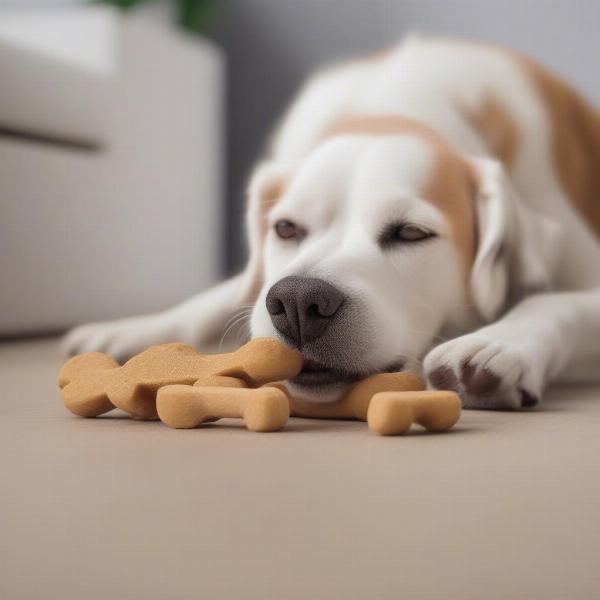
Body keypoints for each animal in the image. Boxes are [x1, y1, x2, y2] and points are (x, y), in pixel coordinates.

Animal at [65, 37, 600, 410]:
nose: (298, 302)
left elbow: (553, 301)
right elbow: (220, 295)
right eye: (285, 228)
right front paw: (134, 332)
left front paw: (498, 345)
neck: (391, 111)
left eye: (411, 233)